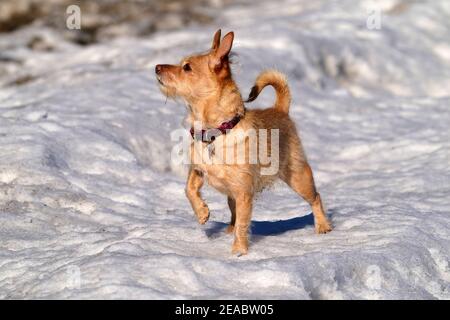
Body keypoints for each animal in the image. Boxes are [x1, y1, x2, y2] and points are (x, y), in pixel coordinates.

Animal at [155, 29, 330, 255]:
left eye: (187, 67)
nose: (156, 67)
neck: (216, 132)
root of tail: (280, 110)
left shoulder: (243, 192)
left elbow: (243, 223)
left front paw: (238, 251)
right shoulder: (197, 170)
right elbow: (189, 189)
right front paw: (202, 212)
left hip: (298, 177)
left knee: (316, 198)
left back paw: (323, 226)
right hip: (232, 196)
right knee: (233, 215)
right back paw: (227, 230)